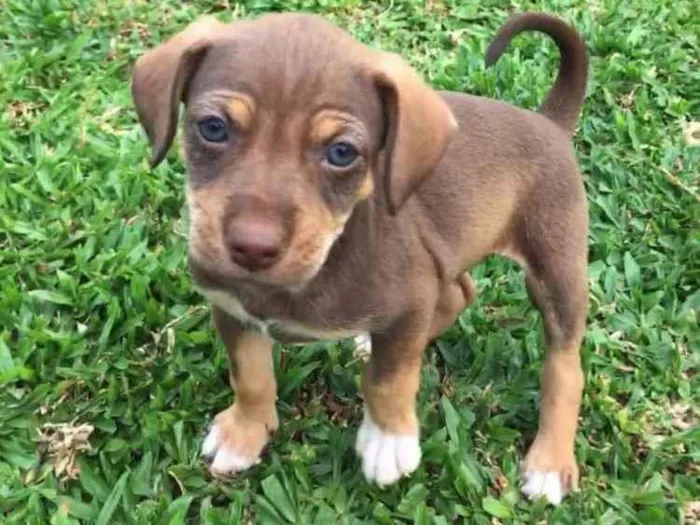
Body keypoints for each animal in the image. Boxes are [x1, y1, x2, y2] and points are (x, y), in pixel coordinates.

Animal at [133, 12, 592, 504]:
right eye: (213, 128)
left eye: (342, 153)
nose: (253, 247)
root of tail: (547, 123)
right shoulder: (232, 309)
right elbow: (251, 376)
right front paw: (245, 431)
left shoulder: (410, 300)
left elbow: (387, 380)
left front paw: (388, 441)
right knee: (459, 294)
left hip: (556, 267)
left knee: (566, 365)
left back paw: (549, 462)